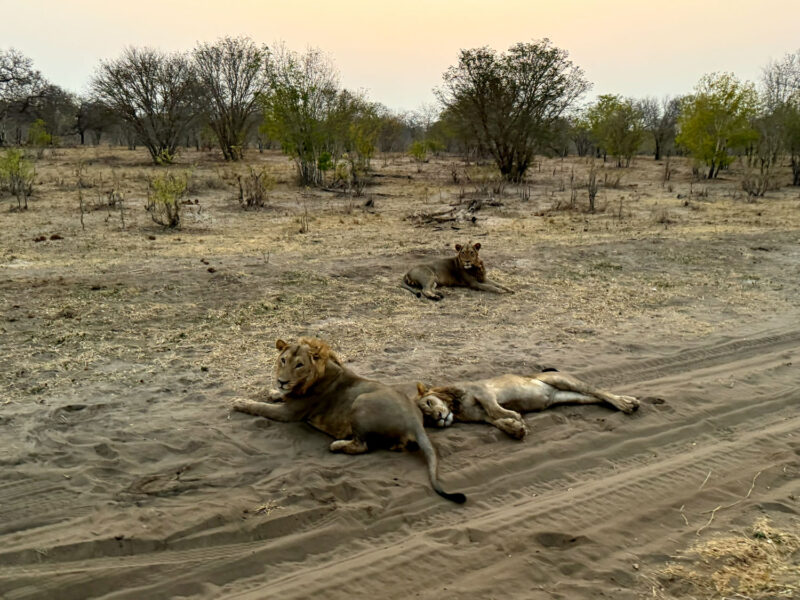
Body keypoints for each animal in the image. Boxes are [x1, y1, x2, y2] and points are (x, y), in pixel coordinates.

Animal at [231, 338, 466, 502]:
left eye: (299, 365)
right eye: (283, 360)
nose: (281, 381)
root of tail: (415, 422)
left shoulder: (289, 413)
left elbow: (260, 407)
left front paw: (239, 401)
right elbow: (276, 397)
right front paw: (273, 392)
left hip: (360, 402)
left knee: (362, 446)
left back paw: (337, 445)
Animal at [416, 370, 640, 440]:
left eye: (429, 403)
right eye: (427, 419)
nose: (438, 418)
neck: (457, 409)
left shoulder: (483, 392)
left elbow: (496, 410)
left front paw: (516, 418)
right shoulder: (482, 417)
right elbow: (497, 421)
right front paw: (516, 428)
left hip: (559, 379)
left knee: (596, 390)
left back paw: (626, 404)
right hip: (570, 396)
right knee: (594, 396)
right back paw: (631, 401)